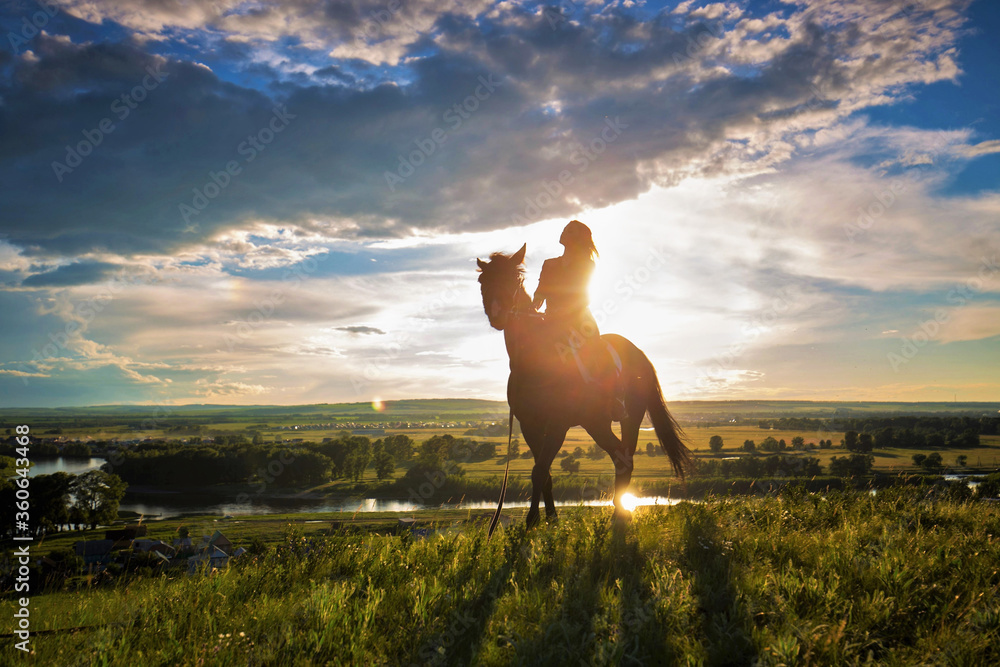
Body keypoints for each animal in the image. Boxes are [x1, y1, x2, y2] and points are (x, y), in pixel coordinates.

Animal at [480, 245, 692, 528]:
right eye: (483, 281)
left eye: (514, 279)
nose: (498, 315)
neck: (534, 360)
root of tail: (638, 353)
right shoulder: (529, 425)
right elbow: (544, 472)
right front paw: (551, 519)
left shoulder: (557, 425)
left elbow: (539, 470)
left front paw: (532, 520)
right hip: (596, 423)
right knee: (618, 456)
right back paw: (618, 509)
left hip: (630, 418)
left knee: (625, 458)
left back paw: (619, 514)